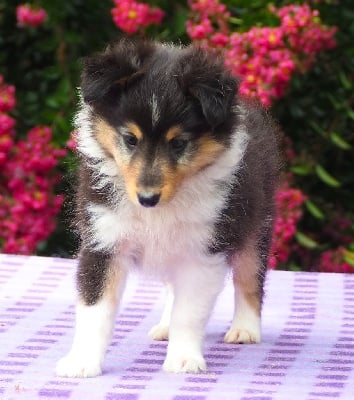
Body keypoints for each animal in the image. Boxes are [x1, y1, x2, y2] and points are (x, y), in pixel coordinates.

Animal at [56, 38, 280, 378]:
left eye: (178, 143)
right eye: (129, 139)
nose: (147, 198)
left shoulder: (203, 250)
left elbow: (189, 313)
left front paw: (185, 360)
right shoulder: (103, 240)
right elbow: (95, 309)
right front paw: (82, 362)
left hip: (255, 226)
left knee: (249, 279)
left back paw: (245, 330)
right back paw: (164, 326)